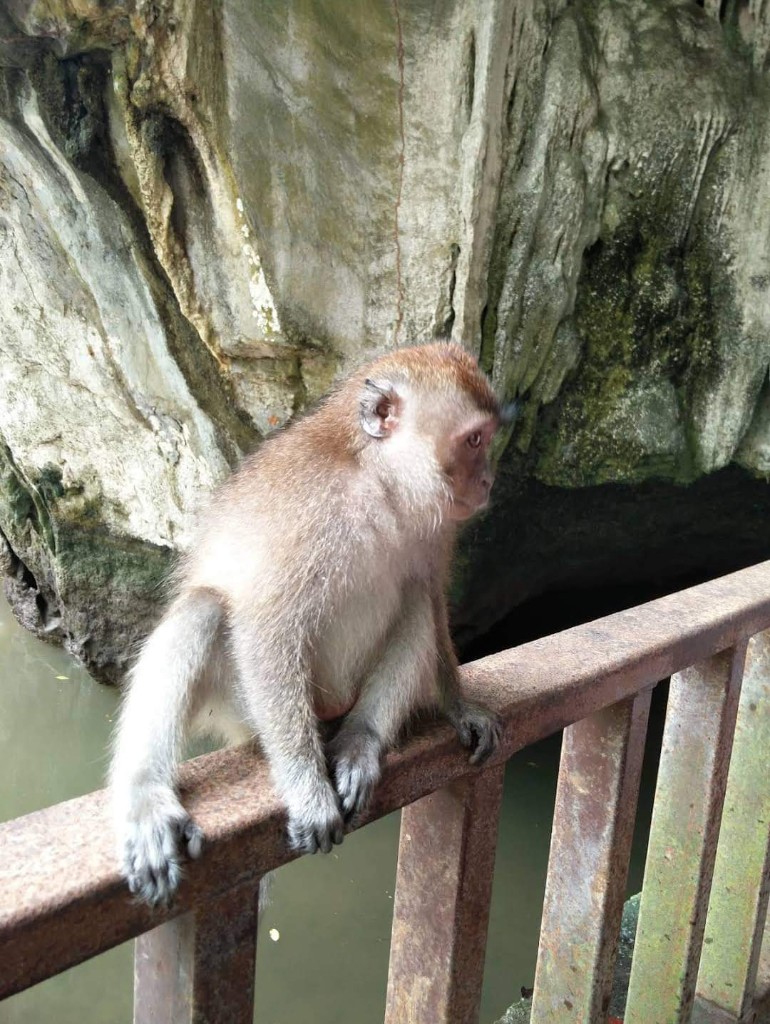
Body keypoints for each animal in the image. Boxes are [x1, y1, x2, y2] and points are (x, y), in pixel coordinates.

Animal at [110, 342, 505, 906]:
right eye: (474, 440)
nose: (488, 480)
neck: (378, 486)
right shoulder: (307, 513)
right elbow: (267, 626)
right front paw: (306, 788)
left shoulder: (435, 527)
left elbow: (430, 597)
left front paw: (459, 705)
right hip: (243, 709)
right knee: (204, 609)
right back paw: (145, 794)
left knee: (413, 603)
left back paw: (361, 737)